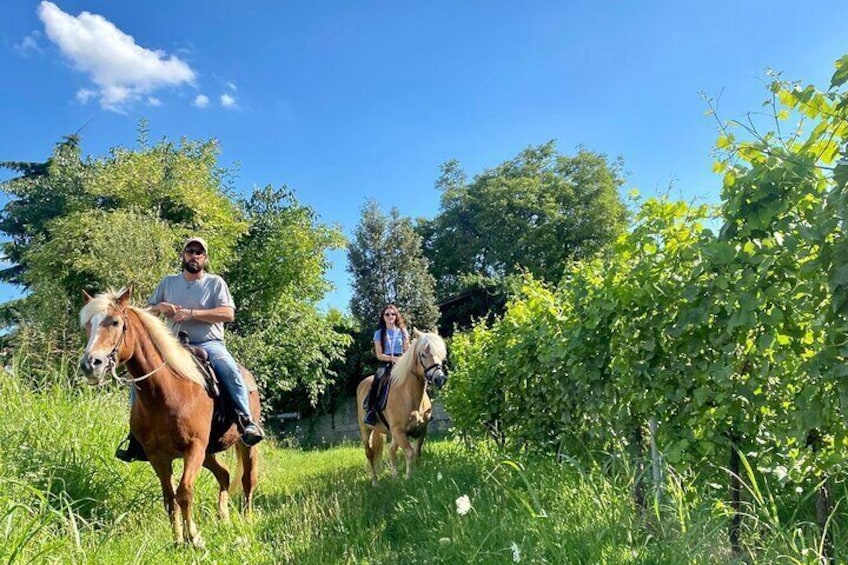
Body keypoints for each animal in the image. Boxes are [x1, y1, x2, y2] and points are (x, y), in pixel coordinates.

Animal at [79, 288, 258, 544]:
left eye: (115, 322)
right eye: (87, 325)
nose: (90, 364)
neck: (166, 392)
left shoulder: (193, 449)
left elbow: (184, 492)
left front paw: (195, 538)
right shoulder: (158, 455)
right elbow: (169, 498)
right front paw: (178, 540)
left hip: (244, 445)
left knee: (247, 480)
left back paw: (247, 520)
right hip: (208, 452)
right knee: (223, 475)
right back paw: (223, 519)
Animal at [356, 330, 448, 484]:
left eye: (441, 354)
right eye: (423, 354)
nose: (439, 379)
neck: (408, 395)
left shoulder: (420, 430)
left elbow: (416, 452)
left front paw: (417, 474)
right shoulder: (399, 432)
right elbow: (409, 452)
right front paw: (409, 477)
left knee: (391, 450)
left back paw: (394, 477)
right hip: (366, 430)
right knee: (369, 453)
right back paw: (375, 481)